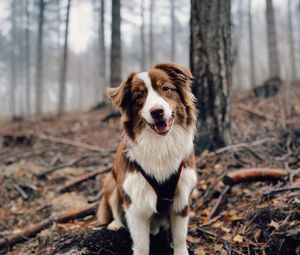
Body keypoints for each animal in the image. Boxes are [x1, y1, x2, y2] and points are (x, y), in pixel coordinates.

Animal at [97, 62, 198, 255]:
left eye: (165, 88)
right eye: (139, 96)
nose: (157, 112)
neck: (160, 145)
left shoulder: (182, 197)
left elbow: (180, 237)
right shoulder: (134, 202)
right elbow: (142, 244)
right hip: (111, 182)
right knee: (114, 207)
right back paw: (115, 224)